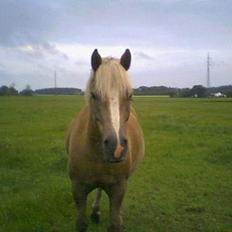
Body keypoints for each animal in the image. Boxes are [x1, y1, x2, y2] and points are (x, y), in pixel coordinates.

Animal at [65, 49, 144, 232]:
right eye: (94, 95)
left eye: (130, 95)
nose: (117, 148)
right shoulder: (77, 188)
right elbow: (81, 223)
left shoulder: (118, 188)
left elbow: (114, 223)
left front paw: (117, 218)